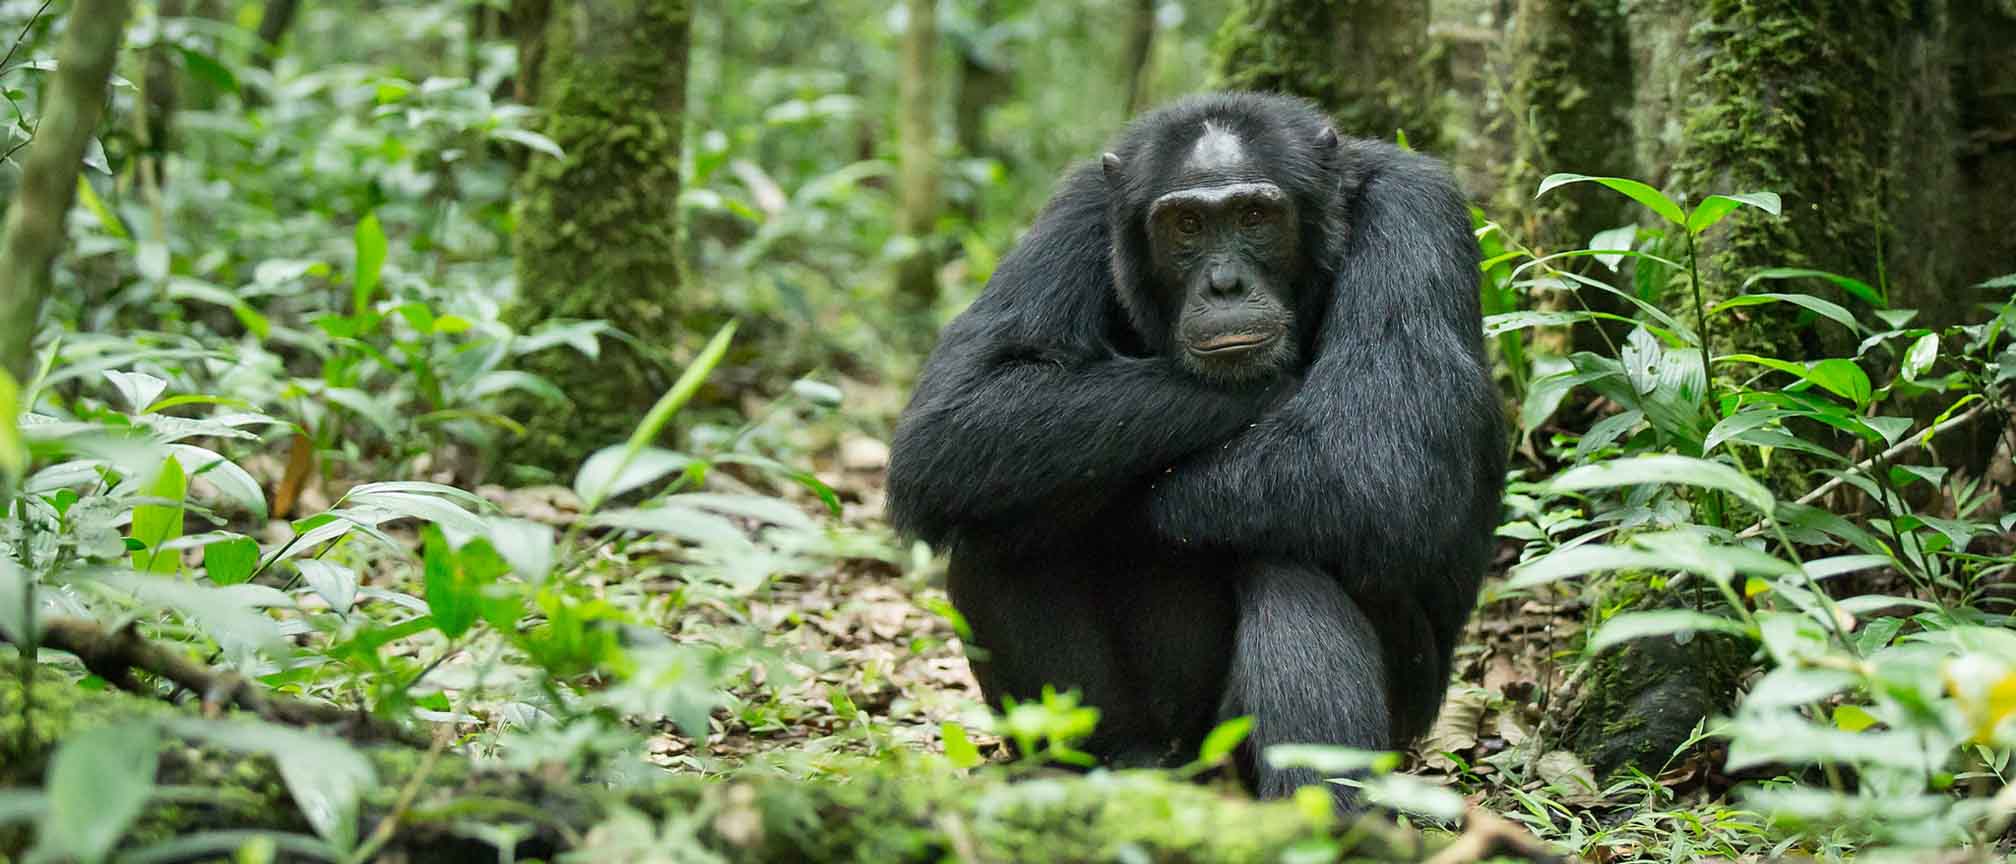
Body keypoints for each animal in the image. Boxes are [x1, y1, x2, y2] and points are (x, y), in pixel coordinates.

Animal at [891, 91, 1507, 805]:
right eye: (1186, 225)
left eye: (1253, 217)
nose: (1224, 284)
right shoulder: (1075, 211)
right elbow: (960, 412)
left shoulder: (1416, 213)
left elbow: (1380, 458)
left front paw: (1136, 513)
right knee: (997, 521)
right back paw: (1101, 767)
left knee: (1294, 553)